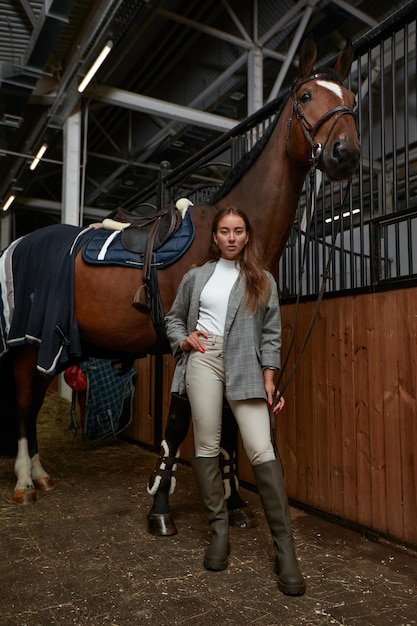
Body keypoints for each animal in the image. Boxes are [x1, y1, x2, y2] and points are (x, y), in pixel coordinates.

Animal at [0, 37, 358, 512]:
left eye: (351, 97)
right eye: (304, 96)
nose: (345, 154)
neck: (228, 240)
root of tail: (18, 245)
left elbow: (228, 419)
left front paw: (234, 501)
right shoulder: (189, 341)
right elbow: (181, 418)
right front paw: (164, 499)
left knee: (34, 399)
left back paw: (41, 475)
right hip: (27, 344)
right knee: (24, 403)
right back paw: (24, 480)